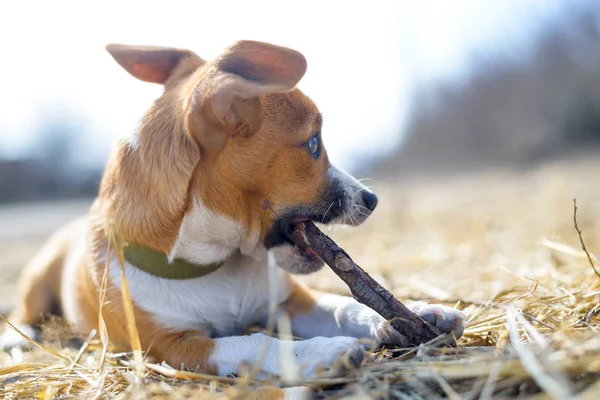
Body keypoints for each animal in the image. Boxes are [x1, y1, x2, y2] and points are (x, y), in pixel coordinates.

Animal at [0, 39, 466, 396]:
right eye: (313, 144)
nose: (371, 199)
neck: (216, 260)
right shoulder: (173, 348)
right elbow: (251, 342)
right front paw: (320, 352)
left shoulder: (291, 302)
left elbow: (344, 307)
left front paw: (419, 313)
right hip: (38, 280)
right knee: (25, 313)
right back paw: (21, 337)